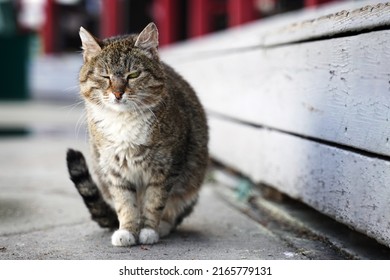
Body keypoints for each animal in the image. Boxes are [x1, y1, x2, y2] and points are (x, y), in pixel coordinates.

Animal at [65, 23, 209, 246]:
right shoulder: (114, 169)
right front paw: (127, 231)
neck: (124, 121)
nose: (118, 93)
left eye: (133, 75)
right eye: (105, 76)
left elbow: (154, 201)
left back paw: (164, 226)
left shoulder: (166, 168)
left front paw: (149, 230)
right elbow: (125, 203)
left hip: (192, 179)